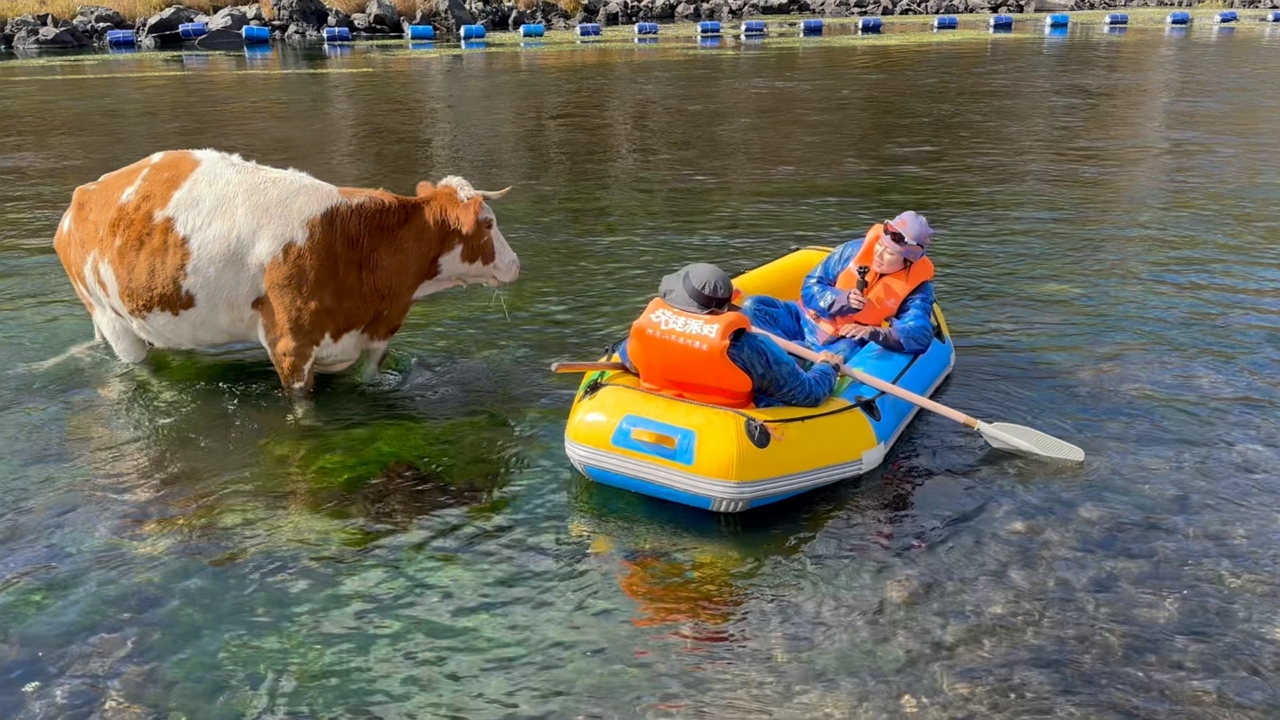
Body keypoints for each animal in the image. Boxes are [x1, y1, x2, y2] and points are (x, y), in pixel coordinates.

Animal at [52, 149, 519, 395]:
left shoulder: (373, 335)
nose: (516, 264)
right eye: (489, 223)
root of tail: (87, 192)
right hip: (112, 319)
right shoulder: (290, 346)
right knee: (139, 368)